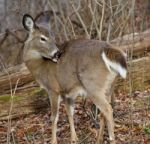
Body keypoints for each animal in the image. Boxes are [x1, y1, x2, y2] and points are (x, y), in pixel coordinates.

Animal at [22, 13, 127, 144]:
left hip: (93, 86)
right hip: (109, 86)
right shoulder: (67, 92)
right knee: (105, 110)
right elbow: (70, 113)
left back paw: (111, 139)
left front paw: (53, 141)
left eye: (52, 37)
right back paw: (99, 139)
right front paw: (74, 138)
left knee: (108, 109)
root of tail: (108, 50)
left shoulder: (53, 89)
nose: (57, 53)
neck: (40, 66)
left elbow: (54, 117)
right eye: (43, 38)